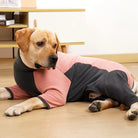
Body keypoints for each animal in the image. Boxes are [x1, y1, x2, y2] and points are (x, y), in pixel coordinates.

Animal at [0, 27, 138, 121]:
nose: (55, 58)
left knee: (130, 99)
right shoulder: (20, 89)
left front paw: (17, 107)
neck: (29, 68)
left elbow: (32, 99)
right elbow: (5, 90)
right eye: (40, 43)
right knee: (116, 101)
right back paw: (98, 104)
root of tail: (131, 75)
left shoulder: (57, 94)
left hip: (112, 82)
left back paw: (133, 111)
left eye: (55, 45)